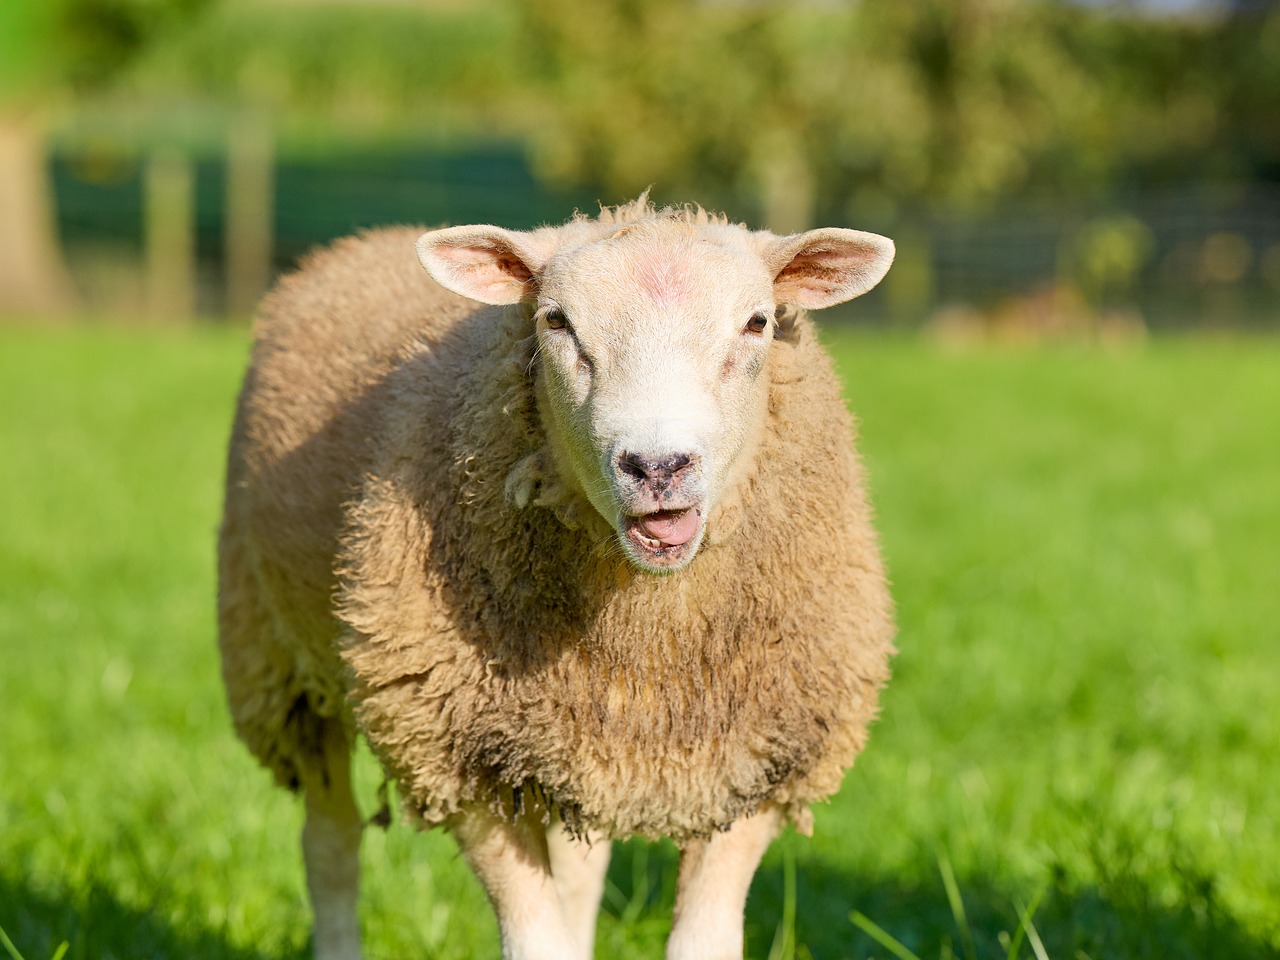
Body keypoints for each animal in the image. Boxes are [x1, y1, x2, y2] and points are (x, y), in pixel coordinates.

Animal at [217, 196, 896, 960]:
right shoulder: (458, 750)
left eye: (758, 322)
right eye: (556, 322)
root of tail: (366, 240)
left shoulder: (765, 758)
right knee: (330, 846)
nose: (657, 466)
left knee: (578, 870)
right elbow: (535, 938)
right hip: (282, 667)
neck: (647, 639)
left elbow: (698, 937)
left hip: (570, 739)